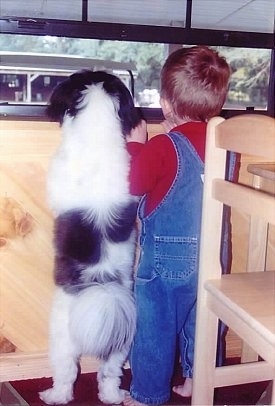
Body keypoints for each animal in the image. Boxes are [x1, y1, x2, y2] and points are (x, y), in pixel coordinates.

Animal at [39, 71, 142, 404]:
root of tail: (101, 285)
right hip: (122, 340)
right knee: (109, 373)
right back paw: (113, 396)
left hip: (61, 337)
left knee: (67, 374)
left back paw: (53, 395)